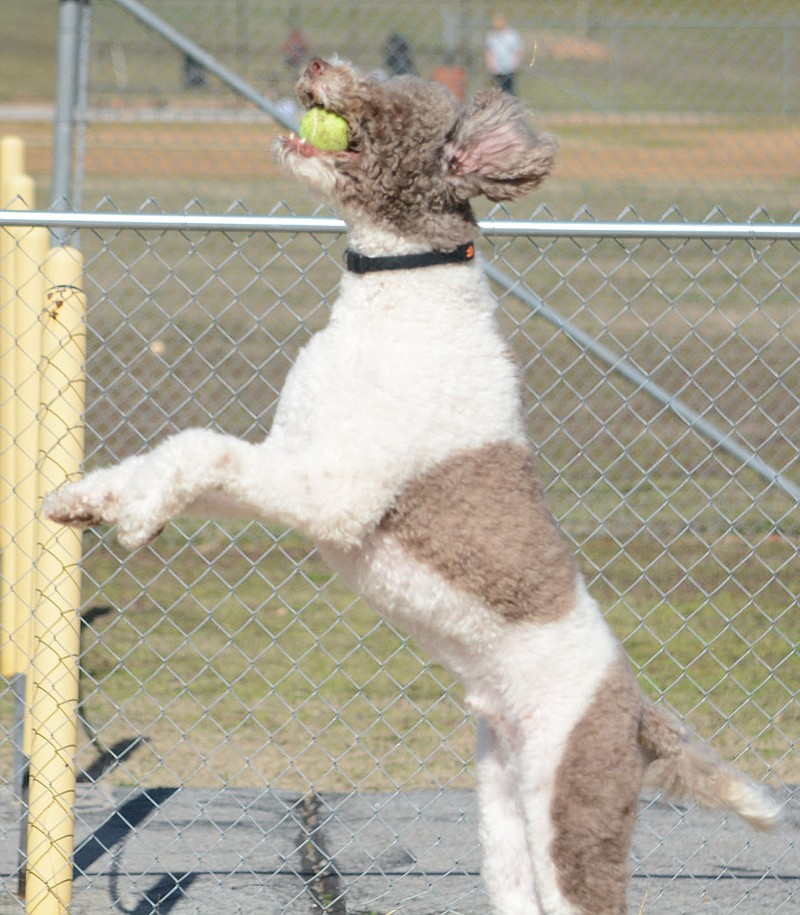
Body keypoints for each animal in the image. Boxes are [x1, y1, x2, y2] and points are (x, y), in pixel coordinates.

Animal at [45, 59, 780, 915]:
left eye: (393, 92)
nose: (316, 66)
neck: (403, 293)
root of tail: (636, 711)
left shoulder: (334, 490)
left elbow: (203, 448)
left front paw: (134, 519)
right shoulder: (290, 457)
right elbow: (186, 455)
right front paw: (91, 499)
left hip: (573, 811)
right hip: (505, 811)